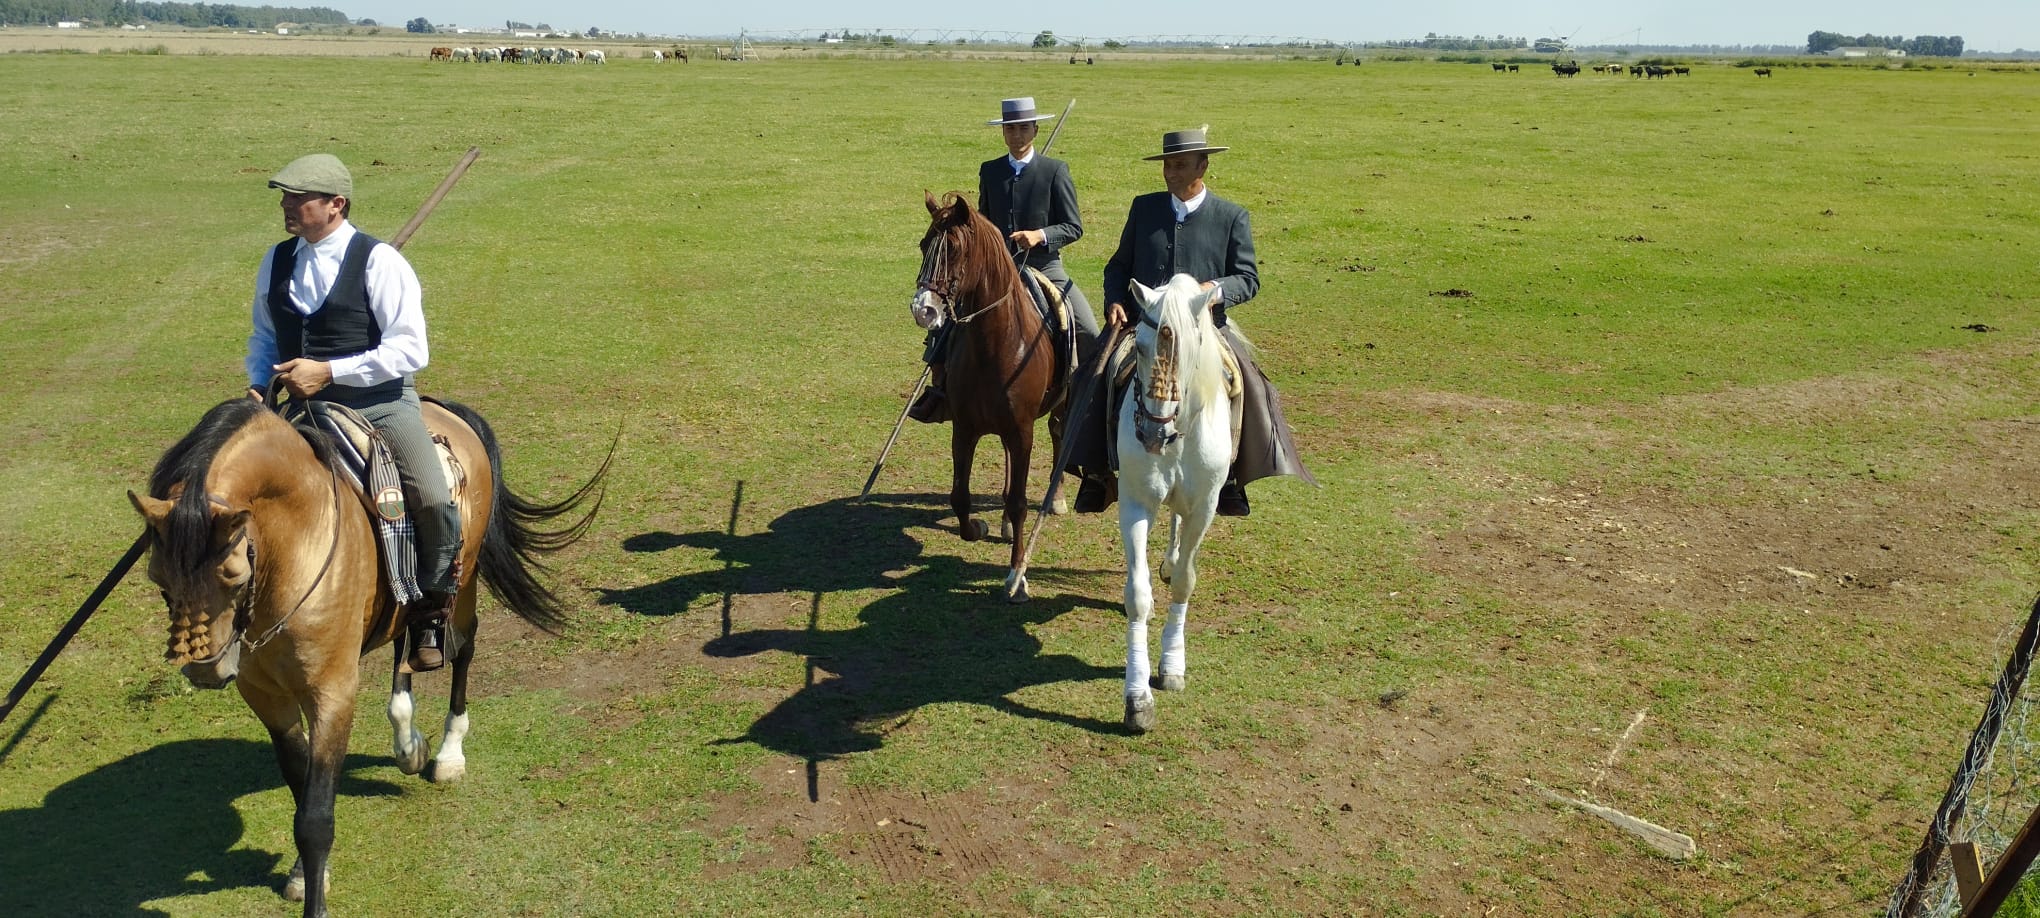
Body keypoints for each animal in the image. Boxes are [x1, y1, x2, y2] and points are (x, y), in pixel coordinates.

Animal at [129, 396, 607, 917]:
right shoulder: (265, 696)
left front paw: (313, 899)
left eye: (233, 576)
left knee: (463, 648)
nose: (206, 671)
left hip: (463, 579)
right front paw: (304, 876)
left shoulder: (333, 692)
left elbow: (315, 817)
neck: (293, 548)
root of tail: (444, 410)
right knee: (405, 645)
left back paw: (448, 753)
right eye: (159, 580)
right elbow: (300, 785)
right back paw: (407, 742)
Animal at [910, 191, 1064, 602]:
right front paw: (977, 528)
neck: (997, 345)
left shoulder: (1022, 431)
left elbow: (1020, 501)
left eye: (954, 249)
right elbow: (959, 496)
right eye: (924, 245)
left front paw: (1017, 577)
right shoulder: (964, 429)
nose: (922, 309)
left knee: (1060, 434)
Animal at [1116, 275, 1234, 733]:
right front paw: (1137, 699)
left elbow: (1186, 579)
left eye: (1186, 354)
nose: (1152, 434)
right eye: (1140, 347)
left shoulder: (1205, 507)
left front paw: (1171, 665)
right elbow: (1137, 593)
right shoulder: (1135, 504)